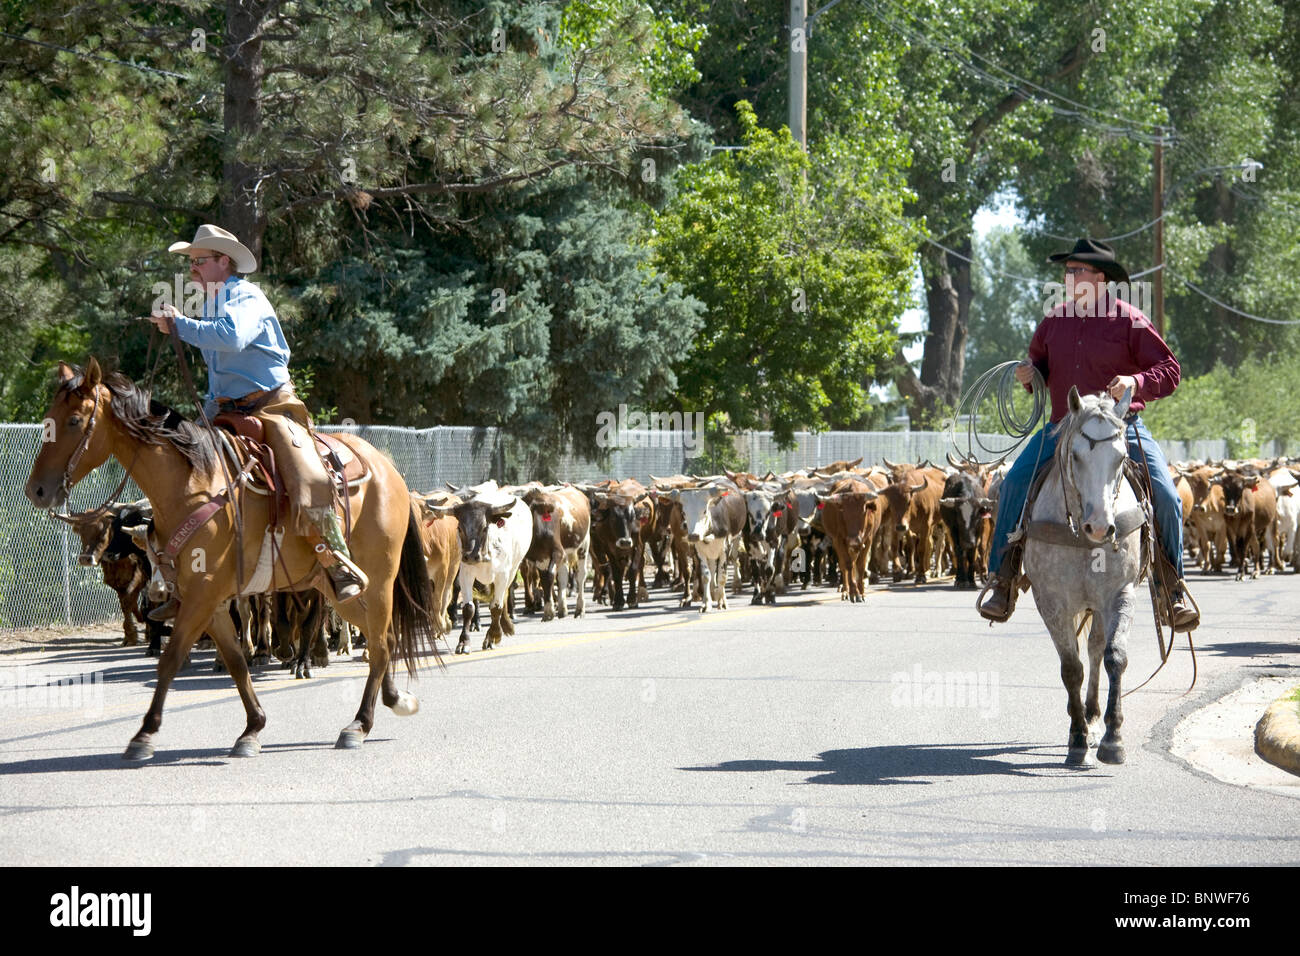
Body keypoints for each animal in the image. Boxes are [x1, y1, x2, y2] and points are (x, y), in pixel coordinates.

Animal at [22, 358, 439, 764]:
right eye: (49, 418)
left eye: (75, 421)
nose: (37, 490)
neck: (194, 485)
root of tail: (388, 470)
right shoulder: (211, 600)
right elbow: (236, 661)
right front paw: (252, 729)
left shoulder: (202, 596)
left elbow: (171, 659)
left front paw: (144, 735)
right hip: (338, 589)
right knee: (382, 637)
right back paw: (392, 699)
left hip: (380, 579)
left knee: (381, 642)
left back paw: (358, 725)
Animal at [1024, 385, 1149, 764]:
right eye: (1076, 456)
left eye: (1121, 458)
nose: (1100, 526)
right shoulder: (1051, 602)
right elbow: (1071, 667)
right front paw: (1077, 737)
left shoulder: (1121, 592)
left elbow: (1114, 656)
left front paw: (1112, 738)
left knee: (1096, 649)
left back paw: (1094, 716)